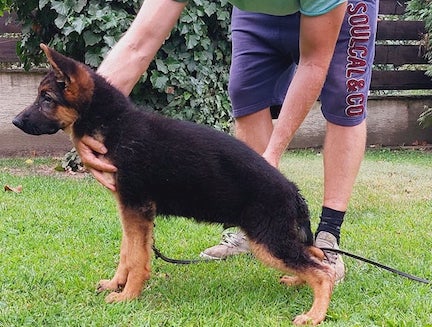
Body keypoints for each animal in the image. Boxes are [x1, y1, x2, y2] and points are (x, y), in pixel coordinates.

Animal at [12, 44, 334, 326]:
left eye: (46, 98)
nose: (14, 121)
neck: (115, 123)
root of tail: (292, 190)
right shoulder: (131, 211)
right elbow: (127, 251)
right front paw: (117, 284)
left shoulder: (136, 207)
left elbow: (137, 257)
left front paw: (128, 296)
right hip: (277, 239)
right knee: (316, 258)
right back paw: (297, 281)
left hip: (268, 241)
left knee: (322, 272)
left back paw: (313, 315)